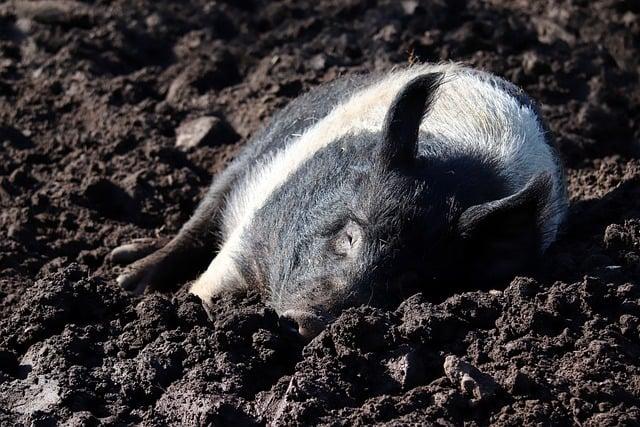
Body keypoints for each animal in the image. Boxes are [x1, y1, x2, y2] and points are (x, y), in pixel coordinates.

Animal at [112, 61, 568, 340]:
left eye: (410, 282)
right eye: (349, 236)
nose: (305, 321)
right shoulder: (255, 228)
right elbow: (210, 281)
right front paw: (188, 306)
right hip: (248, 160)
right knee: (197, 224)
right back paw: (123, 273)